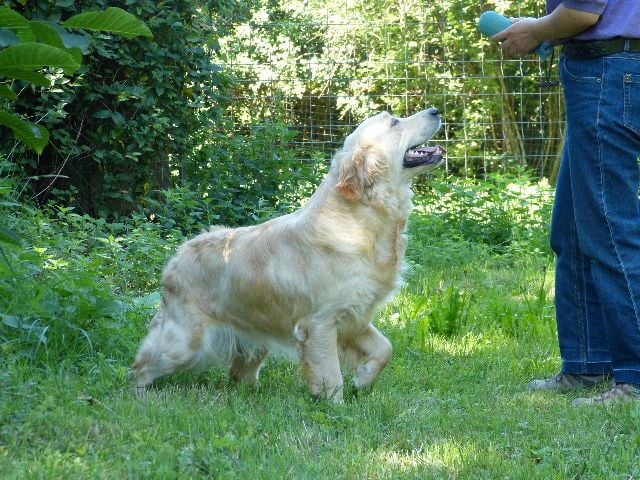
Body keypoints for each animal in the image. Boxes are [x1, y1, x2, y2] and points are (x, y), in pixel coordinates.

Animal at [132, 108, 444, 402]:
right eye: (394, 122)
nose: (435, 111)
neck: (360, 221)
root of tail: (177, 257)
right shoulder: (320, 323)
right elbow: (331, 376)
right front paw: (336, 407)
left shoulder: (354, 317)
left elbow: (385, 349)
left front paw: (363, 381)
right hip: (184, 343)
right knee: (140, 366)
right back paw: (141, 396)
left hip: (254, 336)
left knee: (239, 375)